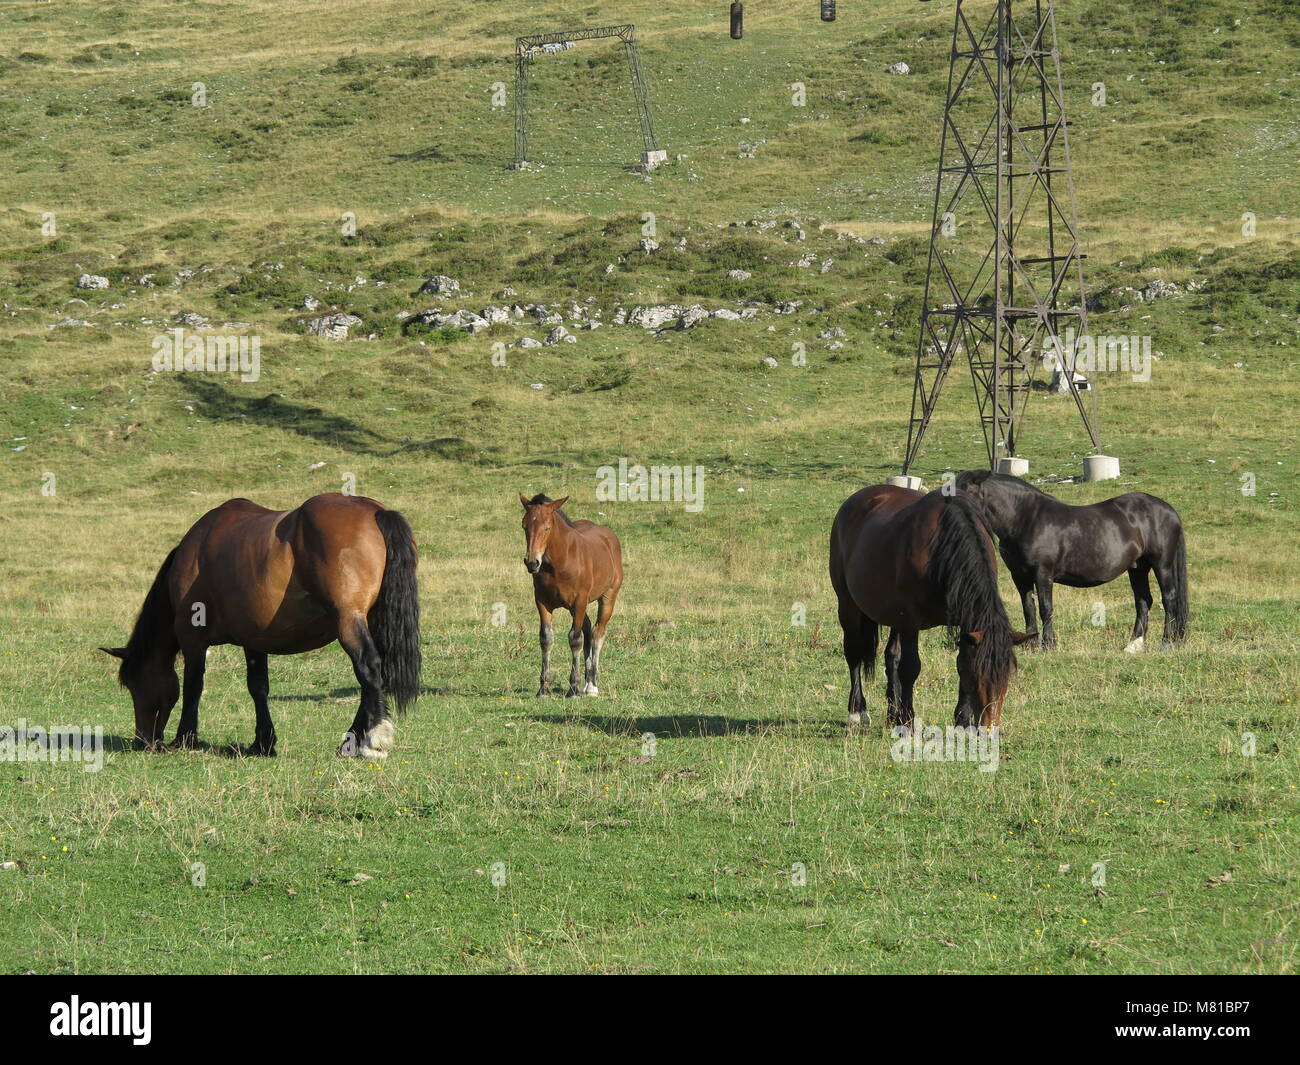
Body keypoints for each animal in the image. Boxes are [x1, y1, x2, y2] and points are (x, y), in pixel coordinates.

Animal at [100, 494, 421, 759]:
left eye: (133, 684)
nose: (143, 741)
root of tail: (375, 511)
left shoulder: (192, 638)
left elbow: (193, 685)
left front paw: (185, 738)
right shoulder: (253, 639)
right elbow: (258, 687)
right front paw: (263, 742)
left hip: (349, 620)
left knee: (369, 668)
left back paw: (371, 739)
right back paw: (350, 741)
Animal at [517, 499, 624, 702]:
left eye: (547, 527)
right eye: (524, 526)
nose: (532, 562)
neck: (558, 564)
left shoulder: (580, 601)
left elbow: (575, 639)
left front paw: (573, 689)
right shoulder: (542, 602)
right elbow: (546, 638)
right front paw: (543, 689)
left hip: (608, 597)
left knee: (598, 633)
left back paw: (592, 686)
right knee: (589, 629)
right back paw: (587, 683)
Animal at [826, 486, 1029, 728]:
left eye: (1008, 674)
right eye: (979, 674)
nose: (989, 726)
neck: (941, 549)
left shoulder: (965, 622)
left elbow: (959, 663)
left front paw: (963, 719)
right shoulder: (910, 620)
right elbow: (910, 667)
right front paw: (906, 721)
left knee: (891, 656)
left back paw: (891, 714)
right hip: (848, 606)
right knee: (854, 654)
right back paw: (858, 711)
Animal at [951, 473, 1185, 650]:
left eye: (966, 489)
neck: (1026, 519)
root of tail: (1169, 510)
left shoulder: (1043, 573)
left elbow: (1045, 607)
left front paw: (1049, 644)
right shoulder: (1019, 575)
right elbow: (1028, 608)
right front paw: (1031, 644)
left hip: (1161, 565)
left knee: (1169, 599)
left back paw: (1166, 643)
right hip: (1137, 568)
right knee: (1143, 601)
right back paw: (1133, 644)